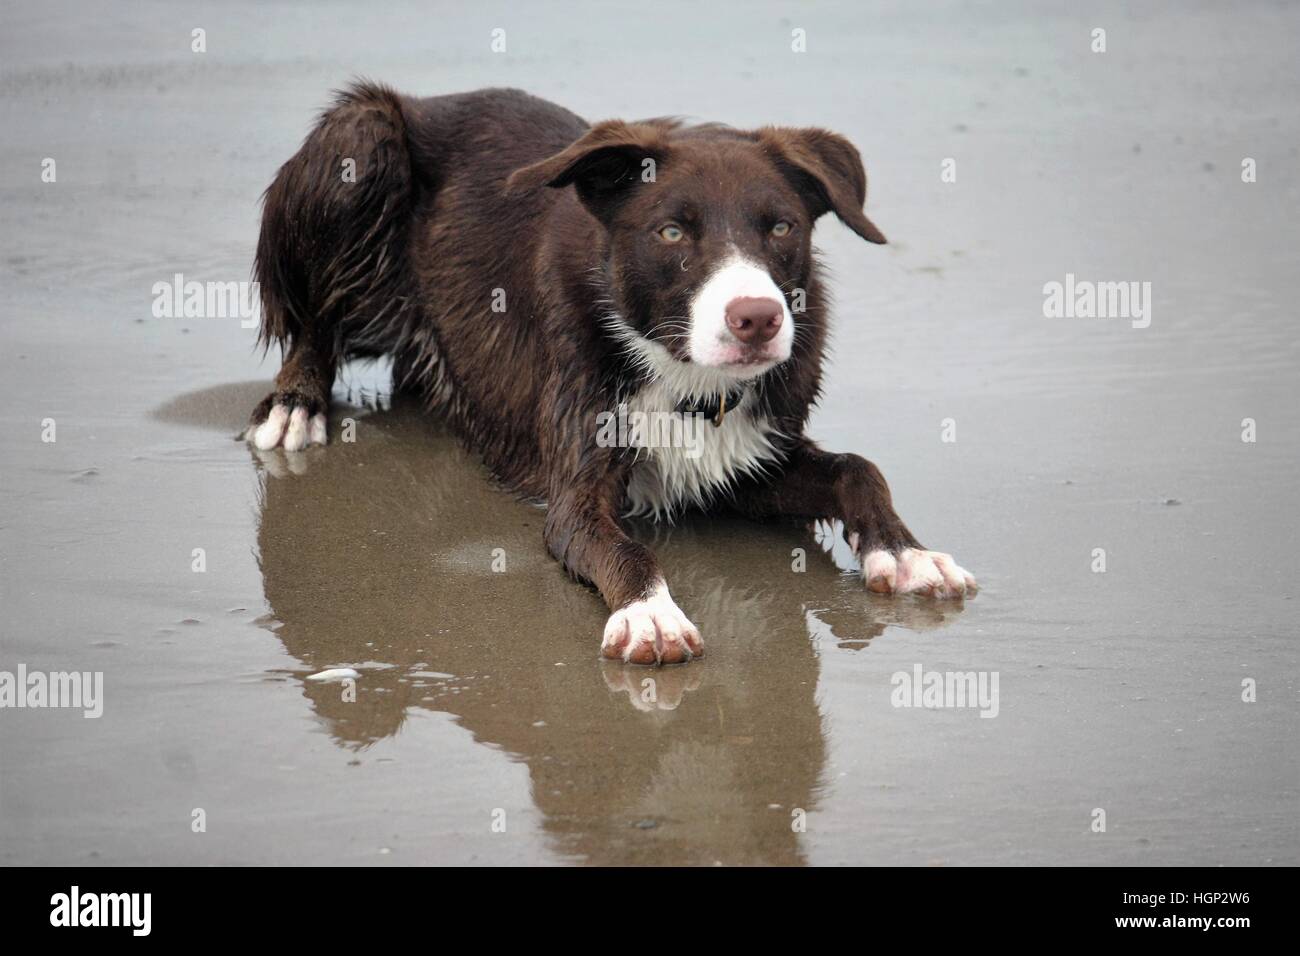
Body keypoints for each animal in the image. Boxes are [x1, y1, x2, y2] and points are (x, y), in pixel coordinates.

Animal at [245, 82, 977, 665]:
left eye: (781, 227)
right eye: (672, 233)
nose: (758, 318)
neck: (686, 381)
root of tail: (428, 99)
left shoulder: (749, 461)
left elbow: (859, 468)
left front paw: (905, 553)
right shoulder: (576, 493)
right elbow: (624, 549)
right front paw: (650, 613)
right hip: (360, 137)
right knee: (316, 318)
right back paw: (295, 404)